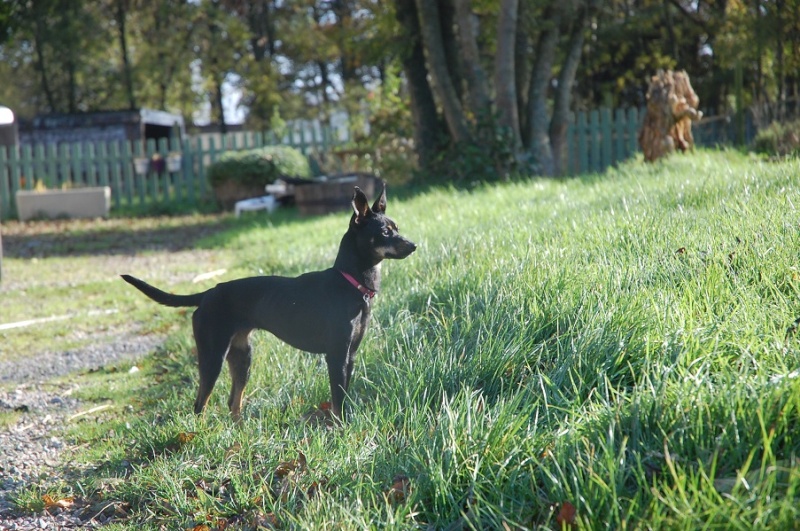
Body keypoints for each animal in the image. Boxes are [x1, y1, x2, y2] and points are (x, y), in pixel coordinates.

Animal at [123, 187, 418, 424]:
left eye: (397, 228)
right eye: (385, 232)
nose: (414, 245)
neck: (349, 282)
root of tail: (208, 293)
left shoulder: (351, 355)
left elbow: (344, 394)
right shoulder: (336, 355)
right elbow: (337, 399)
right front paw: (341, 428)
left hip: (242, 357)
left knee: (233, 402)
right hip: (212, 356)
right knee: (200, 404)